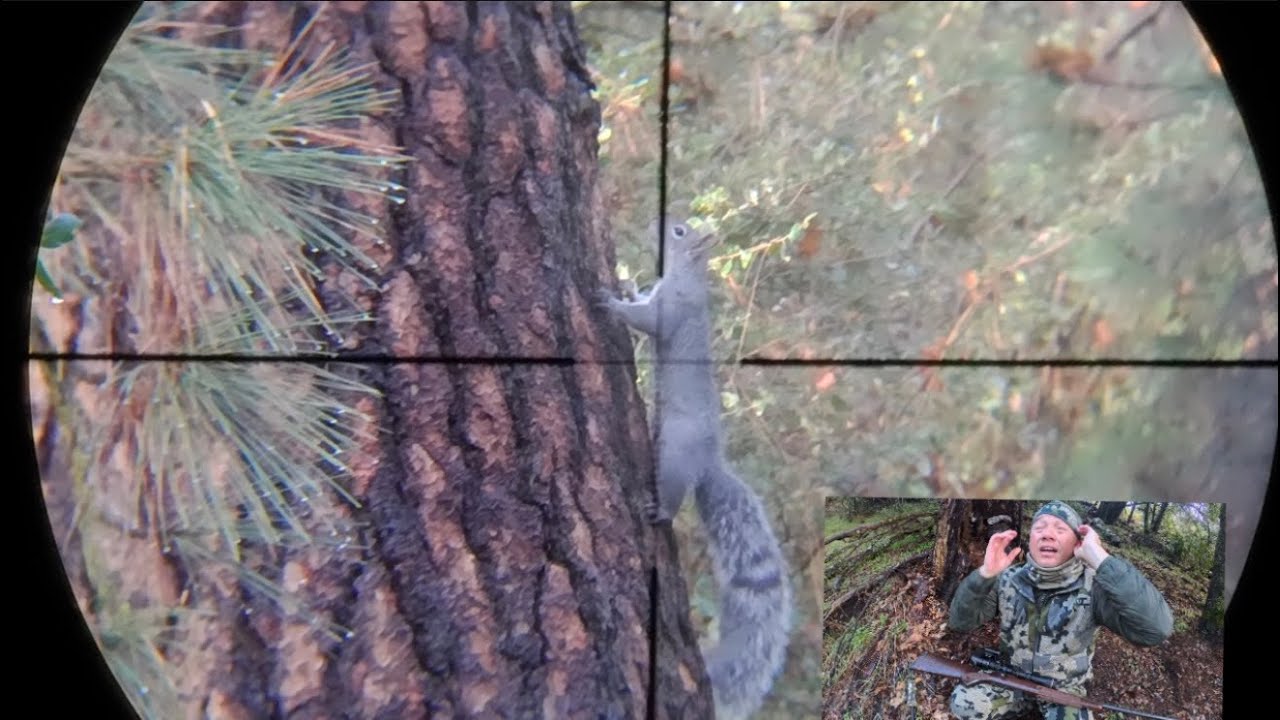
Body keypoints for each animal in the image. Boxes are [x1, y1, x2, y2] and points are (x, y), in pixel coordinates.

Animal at [599, 216, 794, 719]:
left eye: (681, 232)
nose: (659, 224)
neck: (685, 275)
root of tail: (709, 464)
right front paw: (627, 287)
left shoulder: (672, 310)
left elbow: (647, 322)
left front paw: (611, 302)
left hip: (673, 458)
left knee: (671, 496)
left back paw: (659, 512)